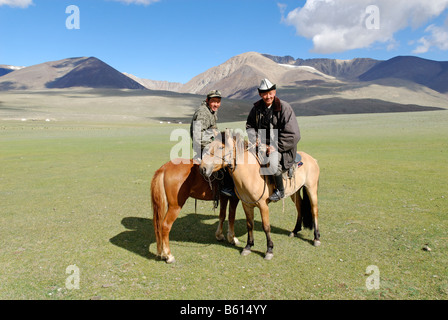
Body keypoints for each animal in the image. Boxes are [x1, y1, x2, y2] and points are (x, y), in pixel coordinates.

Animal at [199, 129, 318, 260]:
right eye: (210, 145)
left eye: (221, 147)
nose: (202, 168)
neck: (250, 173)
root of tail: (312, 159)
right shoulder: (246, 204)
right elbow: (249, 225)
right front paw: (248, 246)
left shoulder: (263, 205)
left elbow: (266, 226)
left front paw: (269, 250)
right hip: (295, 192)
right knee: (300, 207)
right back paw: (295, 231)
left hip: (311, 188)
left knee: (314, 211)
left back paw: (316, 238)